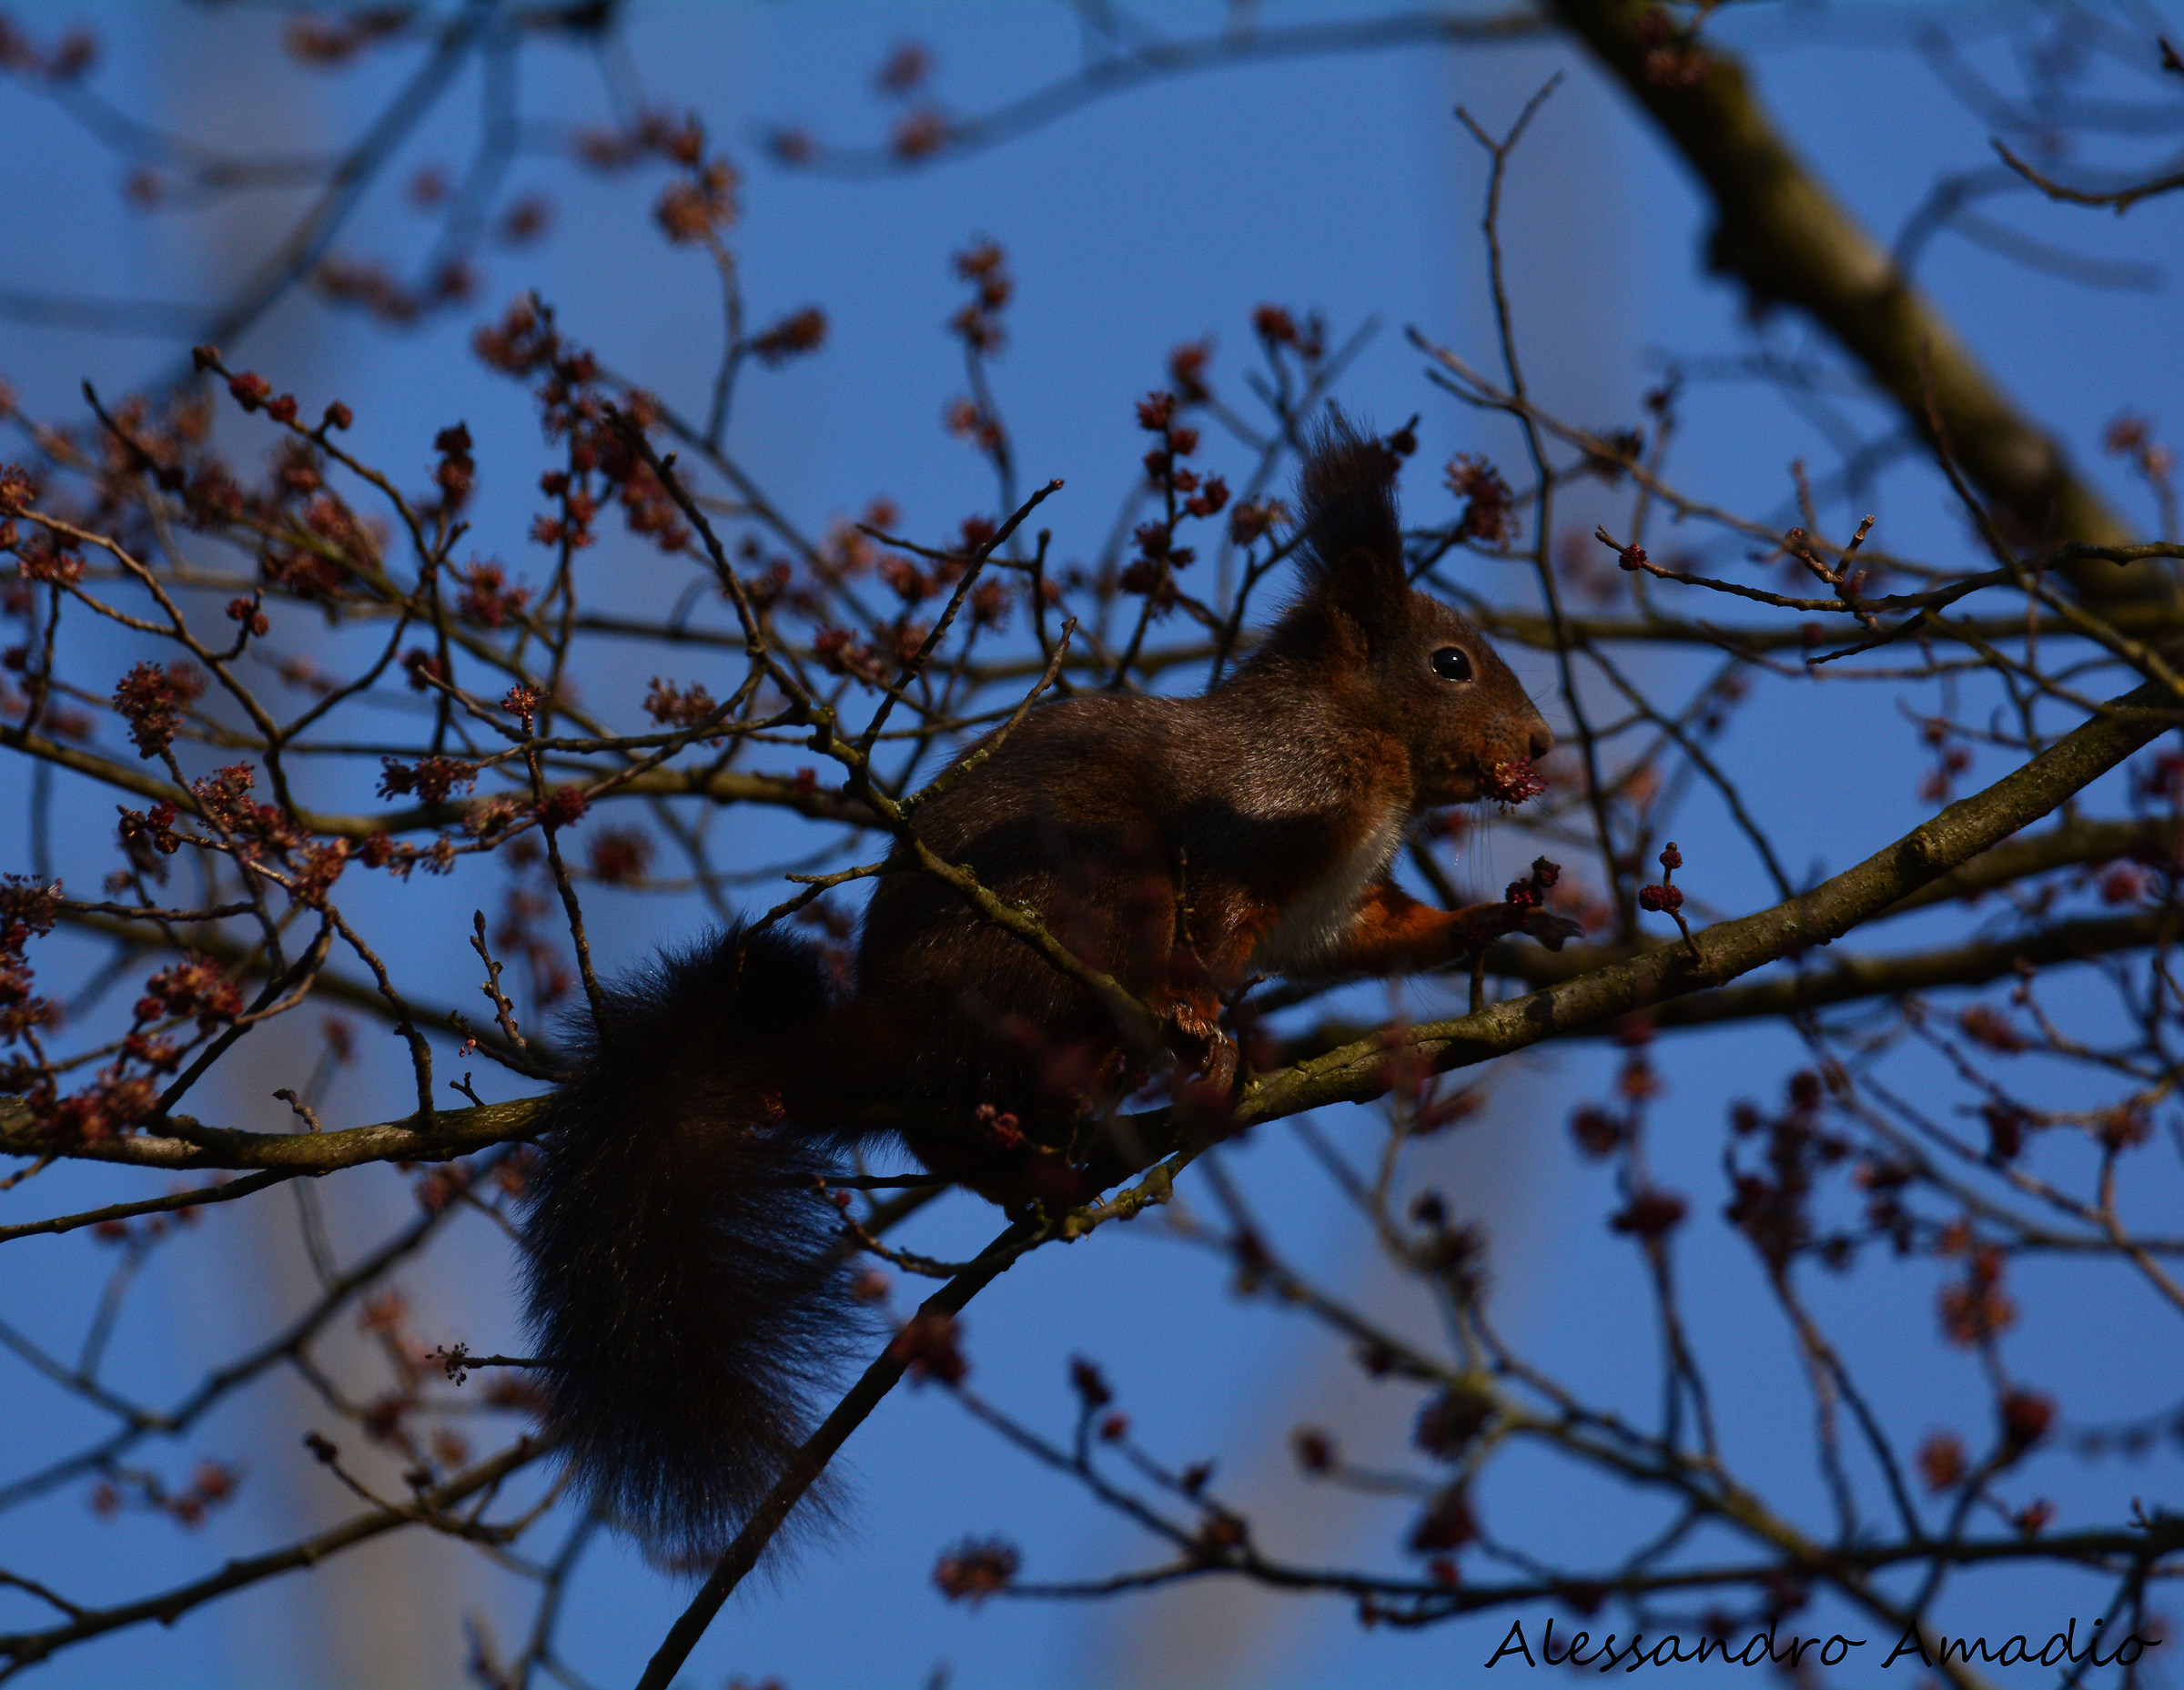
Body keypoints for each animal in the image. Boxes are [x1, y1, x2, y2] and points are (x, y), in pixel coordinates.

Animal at [519, 416, 1569, 1560]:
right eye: (1451, 664)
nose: (1543, 744)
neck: (1374, 761)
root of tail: (887, 1025)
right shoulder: (1251, 825)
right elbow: (1212, 932)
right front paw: (1201, 1017)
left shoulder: (1333, 910)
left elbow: (1380, 938)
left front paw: (1496, 920)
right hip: (1087, 892)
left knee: (941, 1123)